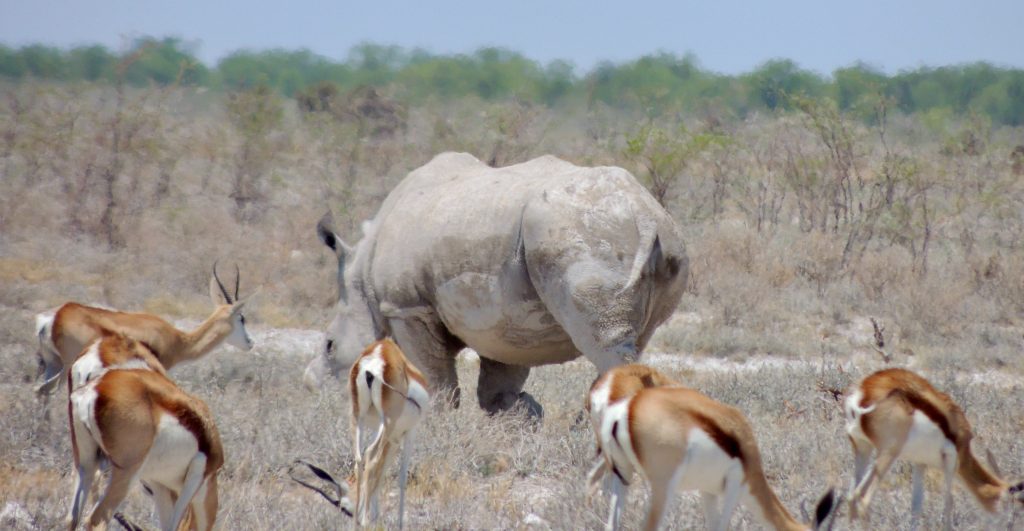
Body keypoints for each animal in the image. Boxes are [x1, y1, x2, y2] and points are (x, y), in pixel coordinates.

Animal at [306, 152, 688, 415]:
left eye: (329, 345)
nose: (312, 388)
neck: (362, 278)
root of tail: (645, 215)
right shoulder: (510, 322)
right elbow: (498, 383)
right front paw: (520, 418)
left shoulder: (406, 307)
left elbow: (434, 379)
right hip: (656, 241)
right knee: (633, 341)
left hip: (581, 233)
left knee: (604, 345)